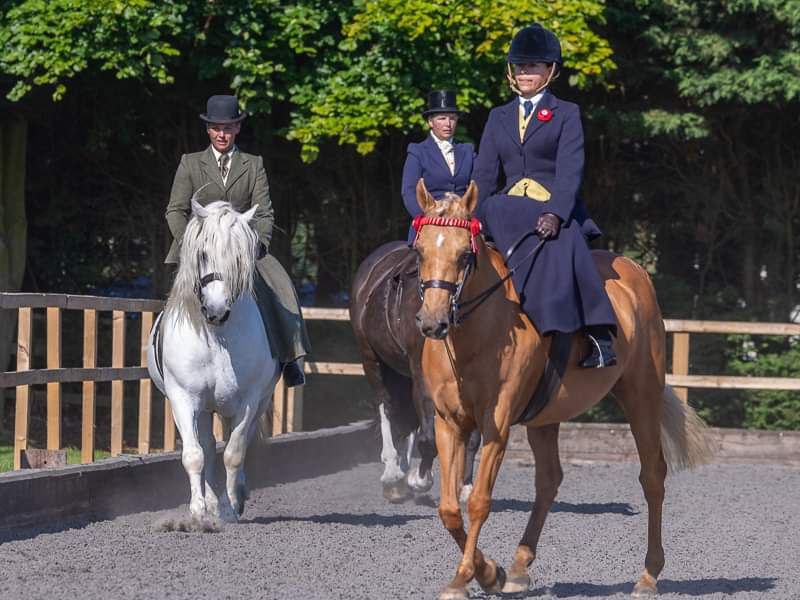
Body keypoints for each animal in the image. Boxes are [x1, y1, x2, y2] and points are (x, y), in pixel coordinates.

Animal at [148, 196, 282, 520]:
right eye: (203, 253)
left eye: (240, 258)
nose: (216, 309)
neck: (217, 336)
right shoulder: (183, 398)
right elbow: (195, 454)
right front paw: (198, 511)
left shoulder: (248, 401)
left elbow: (234, 452)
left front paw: (231, 505)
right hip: (206, 407)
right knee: (208, 447)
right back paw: (210, 503)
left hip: (254, 402)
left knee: (240, 442)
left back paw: (234, 497)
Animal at [352, 239, 482, 502]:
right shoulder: (422, 374)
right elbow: (428, 435)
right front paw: (420, 479)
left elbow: (472, 437)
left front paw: (466, 487)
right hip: (371, 359)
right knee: (387, 406)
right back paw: (392, 475)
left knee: (407, 417)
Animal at [412, 180, 712, 596]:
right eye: (420, 251)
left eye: (464, 255)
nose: (433, 322)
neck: (475, 333)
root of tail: (635, 269)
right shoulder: (449, 422)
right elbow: (449, 508)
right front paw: (487, 572)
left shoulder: (496, 424)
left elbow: (479, 502)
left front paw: (470, 576)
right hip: (544, 416)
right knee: (549, 481)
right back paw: (518, 567)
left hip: (641, 395)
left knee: (652, 476)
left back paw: (648, 575)